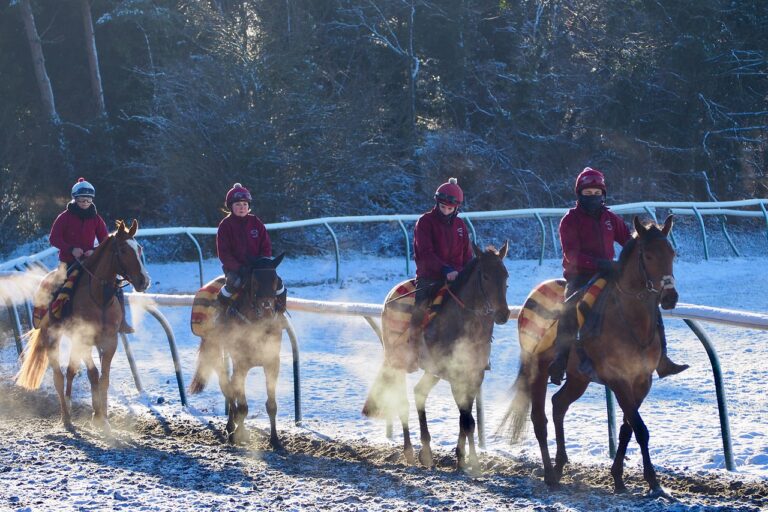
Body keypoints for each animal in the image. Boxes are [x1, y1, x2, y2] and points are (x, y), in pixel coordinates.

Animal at [15, 219, 152, 432]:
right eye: (122, 250)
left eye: (139, 248)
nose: (144, 281)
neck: (99, 298)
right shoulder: (84, 339)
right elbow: (93, 374)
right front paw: (98, 417)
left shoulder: (110, 340)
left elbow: (104, 378)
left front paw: (103, 417)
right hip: (52, 337)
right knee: (59, 376)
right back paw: (66, 417)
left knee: (71, 371)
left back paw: (70, 404)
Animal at [190, 254, 286, 446]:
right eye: (254, 281)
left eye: (276, 280)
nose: (267, 309)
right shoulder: (241, 364)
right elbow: (242, 405)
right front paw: (239, 434)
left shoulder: (272, 362)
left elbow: (271, 405)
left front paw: (274, 439)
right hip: (214, 349)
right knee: (226, 386)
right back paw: (231, 427)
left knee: (230, 387)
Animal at [364, 242, 510, 474]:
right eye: (486, 276)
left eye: (505, 275)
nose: (503, 314)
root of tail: (390, 297)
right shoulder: (455, 377)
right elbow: (467, 421)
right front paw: (472, 463)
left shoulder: (474, 376)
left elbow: (466, 421)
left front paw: (463, 459)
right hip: (398, 362)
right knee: (402, 401)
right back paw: (410, 452)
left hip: (433, 372)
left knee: (419, 393)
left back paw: (426, 452)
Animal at [504, 214, 680, 494]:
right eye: (649, 255)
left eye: (672, 253)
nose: (670, 296)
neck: (630, 320)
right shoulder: (618, 380)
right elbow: (640, 429)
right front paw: (652, 480)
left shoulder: (642, 381)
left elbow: (627, 428)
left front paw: (619, 477)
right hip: (537, 368)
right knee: (539, 419)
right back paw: (549, 474)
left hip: (578, 377)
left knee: (559, 404)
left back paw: (560, 463)